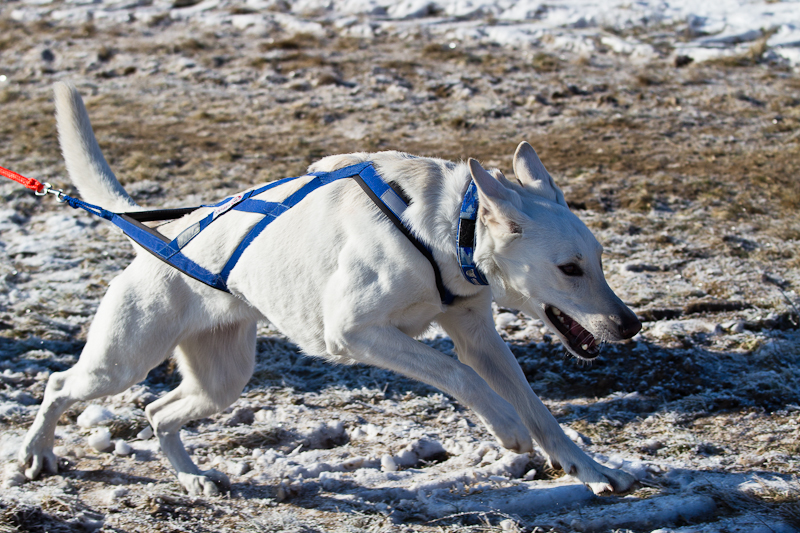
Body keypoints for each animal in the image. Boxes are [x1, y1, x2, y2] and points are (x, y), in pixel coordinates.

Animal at [17, 82, 644, 494]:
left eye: (598, 260)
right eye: (569, 269)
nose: (632, 325)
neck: (445, 230)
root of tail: (165, 234)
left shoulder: (477, 335)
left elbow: (541, 412)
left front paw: (593, 471)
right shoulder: (355, 333)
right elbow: (458, 376)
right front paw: (507, 429)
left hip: (221, 380)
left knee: (159, 411)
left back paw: (193, 478)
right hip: (121, 360)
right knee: (59, 385)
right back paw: (37, 453)